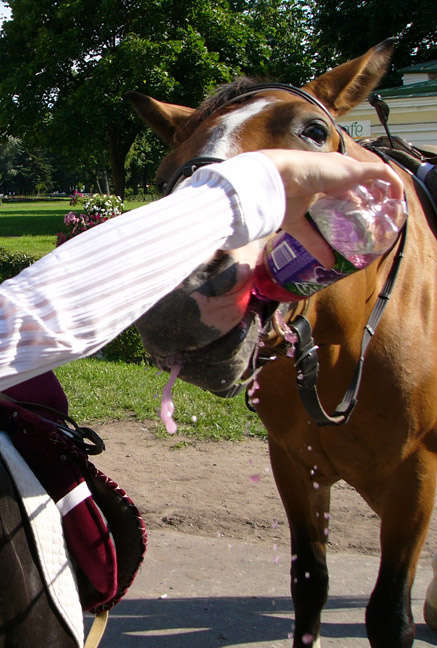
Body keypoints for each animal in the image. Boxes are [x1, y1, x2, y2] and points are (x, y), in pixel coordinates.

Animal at [128, 39, 437, 647]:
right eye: (164, 172)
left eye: (314, 131)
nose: (183, 298)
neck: (343, 346)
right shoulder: (295, 463)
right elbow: (309, 582)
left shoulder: (415, 478)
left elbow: (391, 614)